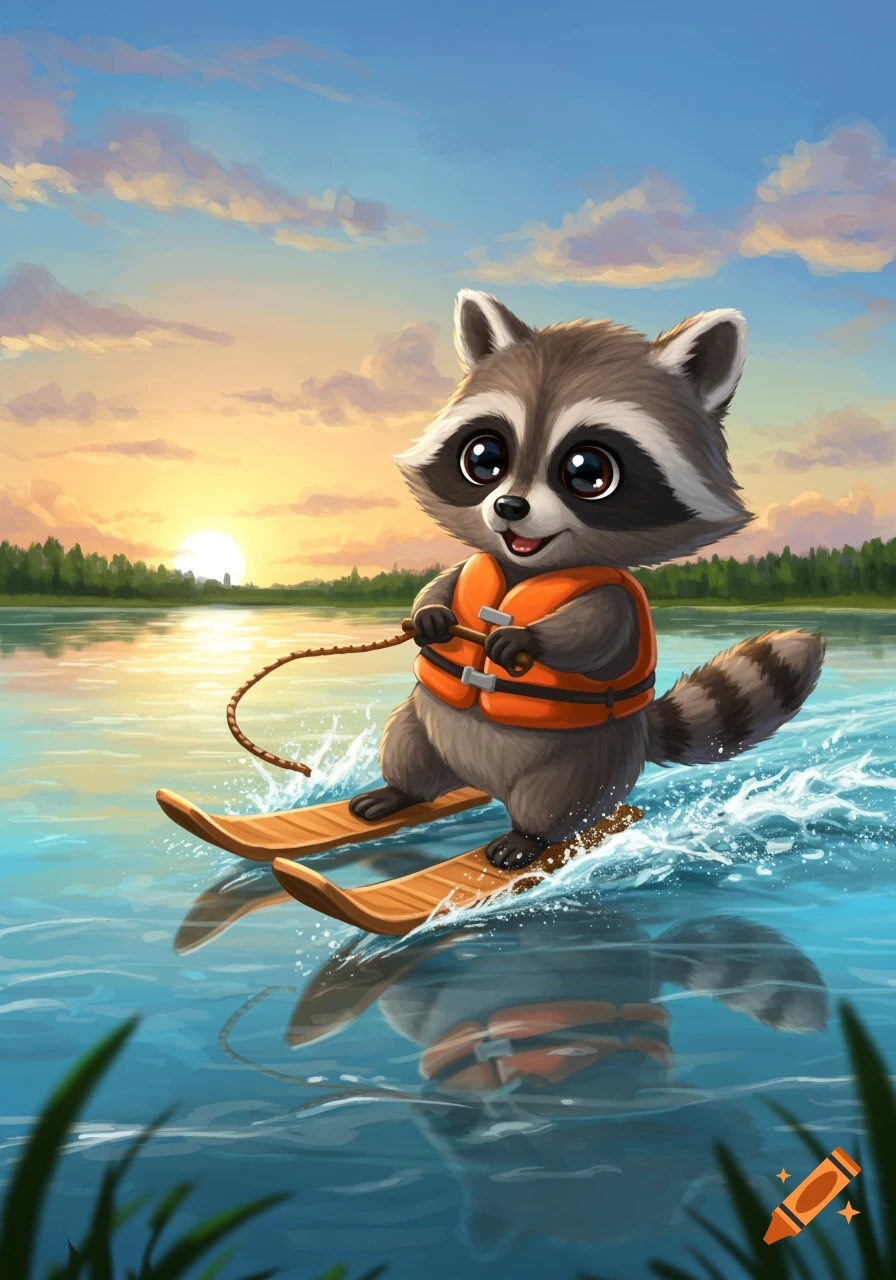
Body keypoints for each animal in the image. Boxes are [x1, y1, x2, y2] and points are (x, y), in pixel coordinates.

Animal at [348, 291, 825, 869]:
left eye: (586, 471)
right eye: (484, 457)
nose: (509, 507)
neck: (522, 568)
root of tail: (480, 784)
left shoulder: (616, 596)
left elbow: (596, 629)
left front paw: (527, 639)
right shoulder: (478, 561)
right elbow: (444, 582)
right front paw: (431, 613)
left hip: (593, 760)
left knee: (558, 800)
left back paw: (527, 838)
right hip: (423, 724)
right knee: (406, 746)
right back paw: (399, 791)